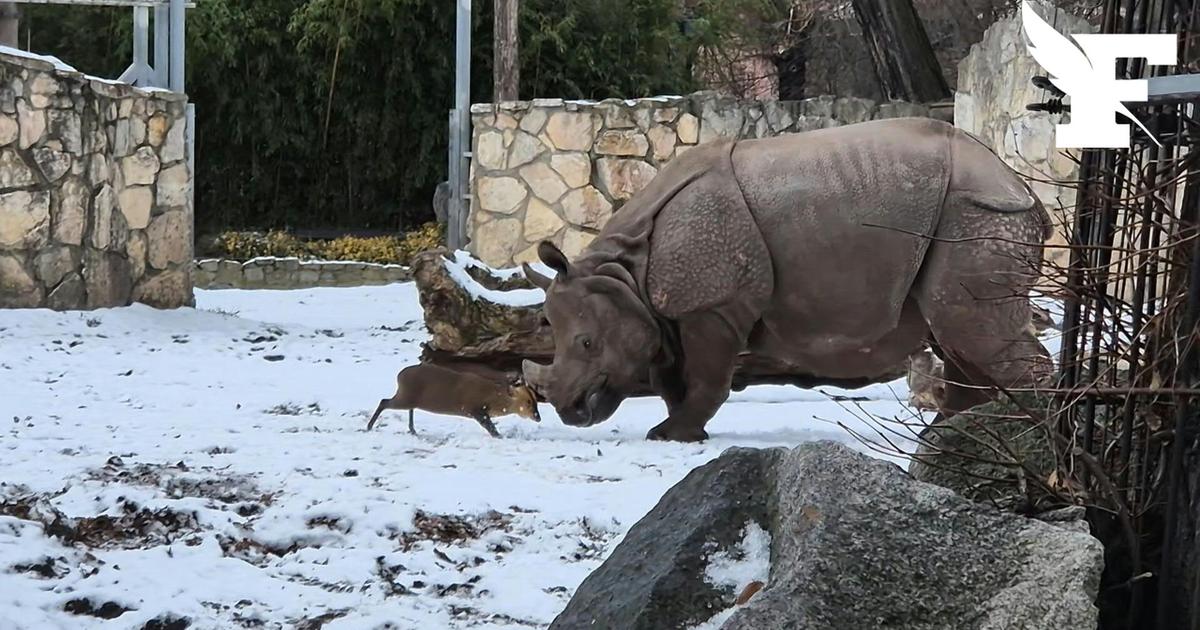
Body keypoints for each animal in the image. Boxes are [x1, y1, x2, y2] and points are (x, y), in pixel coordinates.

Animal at [366, 363, 541, 438]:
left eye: (536, 400)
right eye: (528, 401)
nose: (538, 417)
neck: (493, 399)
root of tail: (399, 376)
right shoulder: (473, 408)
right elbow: (490, 427)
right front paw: (499, 436)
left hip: (408, 397)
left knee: (407, 407)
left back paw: (413, 430)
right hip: (405, 396)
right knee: (383, 401)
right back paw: (368, 426)